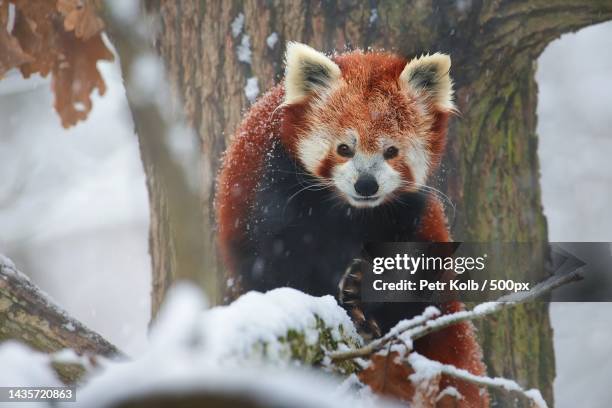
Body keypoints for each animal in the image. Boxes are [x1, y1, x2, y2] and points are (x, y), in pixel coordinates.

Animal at [215, 43, 488, 406]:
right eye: (344, 148)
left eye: (391, 151)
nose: (366, 185)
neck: (350, 213)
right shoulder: (275, 195)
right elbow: (281, 265)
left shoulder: (406, 216)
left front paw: (363, 292)